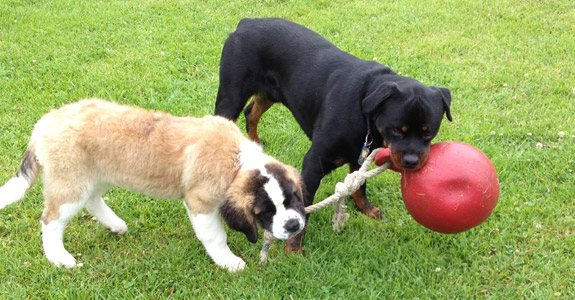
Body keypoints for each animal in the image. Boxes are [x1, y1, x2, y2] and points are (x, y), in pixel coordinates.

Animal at [0, 99, 306, 272]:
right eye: (265, 212)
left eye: (293, 199)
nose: (293, 226)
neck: (237, 160)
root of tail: (46, 121)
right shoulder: (200, 203)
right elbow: (216, 236)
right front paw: (228, 261)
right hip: (70, 184)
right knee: (50, 220)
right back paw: (59, 258)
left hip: (96, 176)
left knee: (92, 200)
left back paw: (115, 225)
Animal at [214, 18, 452, 253]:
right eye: (396, 130)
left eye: (429, 132)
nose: (411, 161)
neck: (364, 112)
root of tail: (246, 22)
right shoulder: (313, 163)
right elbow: (305, 207)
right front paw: (294, 247)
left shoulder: (360, 157)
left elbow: (359, 186)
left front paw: (366, 209)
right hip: (232, 94)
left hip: (268, 94)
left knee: (251, 113)